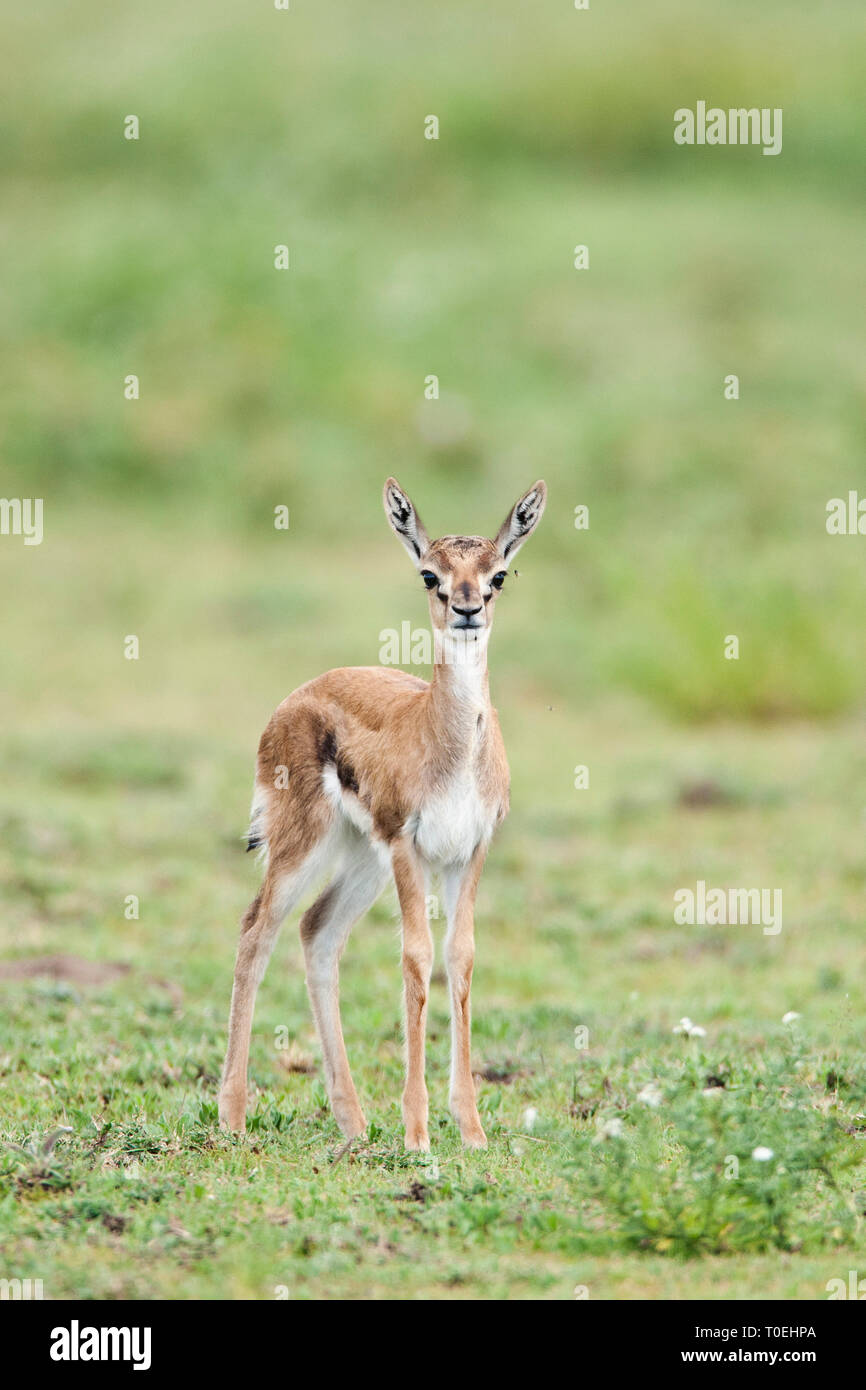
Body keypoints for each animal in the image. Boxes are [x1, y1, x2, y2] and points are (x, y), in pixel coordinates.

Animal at [218, 477, 547, 1151]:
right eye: (429, 574)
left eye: (498, 574)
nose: (466, 608)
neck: (448, 747)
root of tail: (294, 701)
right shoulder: (407, 847)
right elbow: (416, 958)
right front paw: (418, 1133)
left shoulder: (469, 852)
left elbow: (460, 957)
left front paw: (471, 1130)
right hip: (305, 847)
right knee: (257, 929)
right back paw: (233, 1117)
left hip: (359, 859)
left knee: (316, 931)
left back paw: (353, 1120)